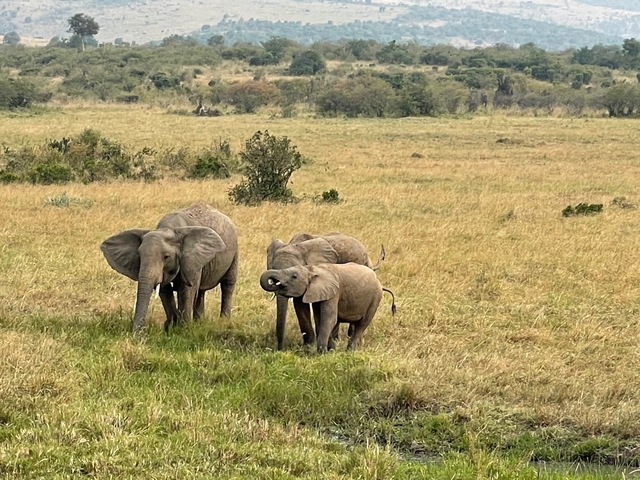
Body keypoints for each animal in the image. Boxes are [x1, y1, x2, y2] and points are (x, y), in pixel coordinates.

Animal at [100, 202, 238, 333]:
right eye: (139, 256)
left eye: (166, 257)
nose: (136, 335)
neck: (168, 229)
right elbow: (164, 290)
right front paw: (171, 326)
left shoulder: (189, 258)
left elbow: (186, 289)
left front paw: (184, 328)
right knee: (201, 291)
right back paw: (199, 322)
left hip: (235, 250)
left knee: (227, 284)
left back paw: (224, 321)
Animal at [260, 263, 396, 352]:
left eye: (294, 276)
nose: (273, 281)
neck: (311, 269)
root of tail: (380, 284)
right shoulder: (318, 293)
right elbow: (320, 318)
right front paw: (330, 351)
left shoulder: (334, 293)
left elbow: (329, 319)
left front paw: (321, 353)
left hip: (375, 298)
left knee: (362, 324)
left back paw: (349, 351)